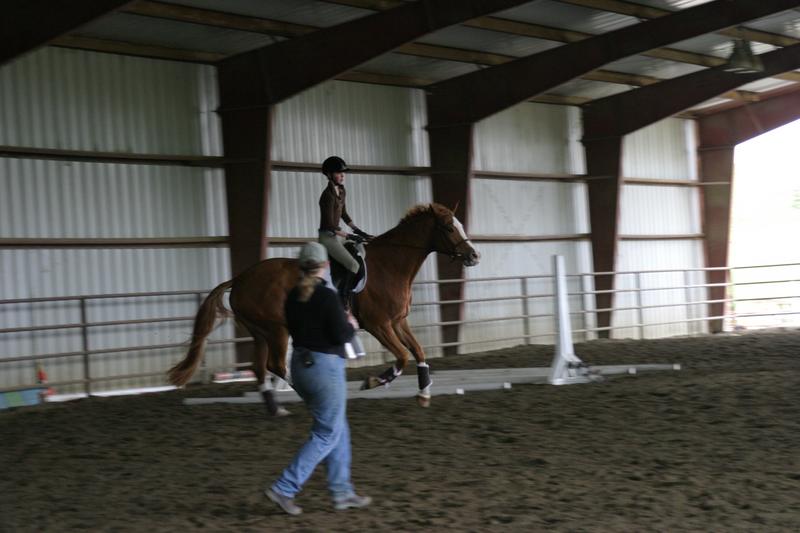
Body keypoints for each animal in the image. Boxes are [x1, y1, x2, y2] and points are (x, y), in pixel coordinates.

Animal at [167, 203, 480, 413]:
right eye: (449, 227)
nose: (474, 255)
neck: (390, 265)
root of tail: (241, 278)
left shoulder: (398, 321)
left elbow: (418, 352)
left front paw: (424, 393)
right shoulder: (379, 325)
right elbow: (403, 356)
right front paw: (372, 382)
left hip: (260, 331)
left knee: (259, 367)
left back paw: (275, 409)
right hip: (277, 329)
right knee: (275, 365)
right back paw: (308, 399)